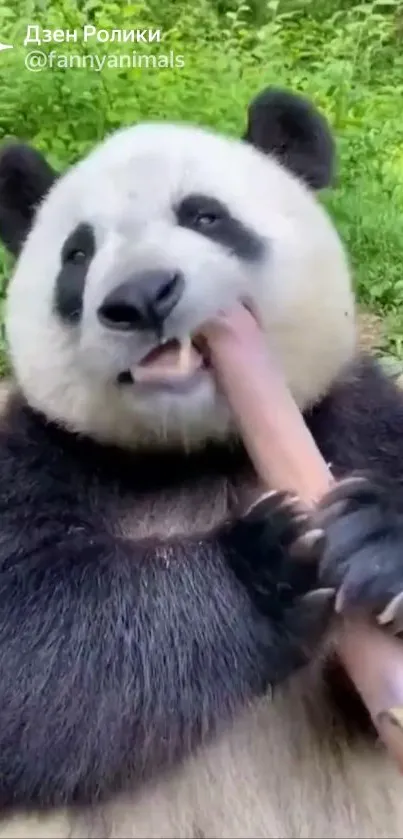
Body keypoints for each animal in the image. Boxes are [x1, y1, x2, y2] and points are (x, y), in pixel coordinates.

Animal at [0, 87, 403, 839]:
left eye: (204, 216)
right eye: (78, 253)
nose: (142, 297)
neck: (198, 455)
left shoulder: (357, 419)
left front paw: (373, 541)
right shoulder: (38, 455)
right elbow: (30, 641)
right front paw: (270, 560)